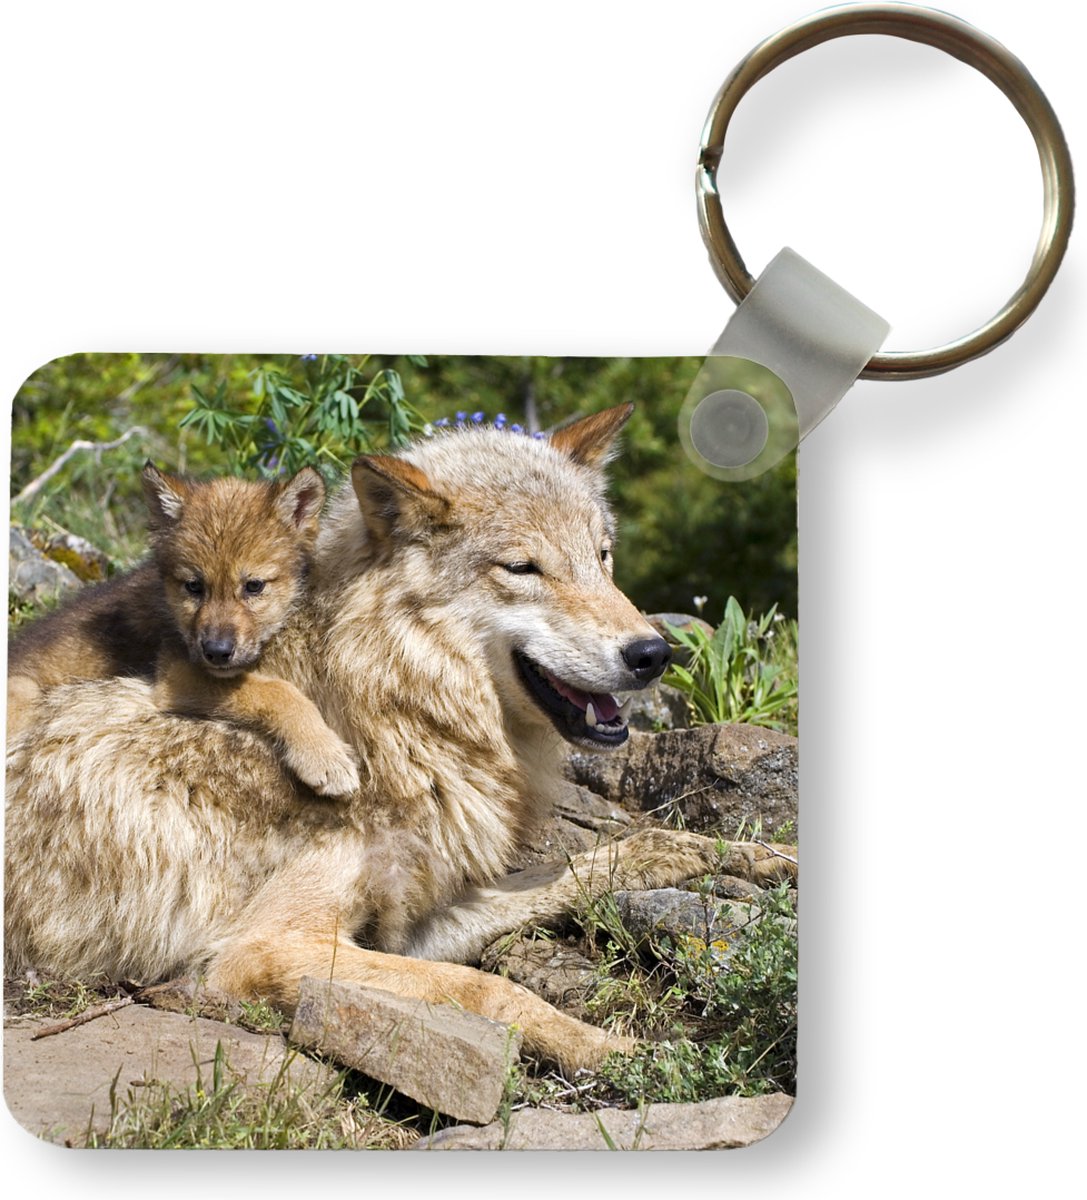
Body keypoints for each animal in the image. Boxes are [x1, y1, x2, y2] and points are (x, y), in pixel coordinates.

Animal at [6, 464, 359, 796]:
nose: (217, 652)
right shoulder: (177, 673)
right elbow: (277, 691)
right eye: (194, 586)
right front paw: (323, 754)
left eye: (254, 586)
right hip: (26, 694)